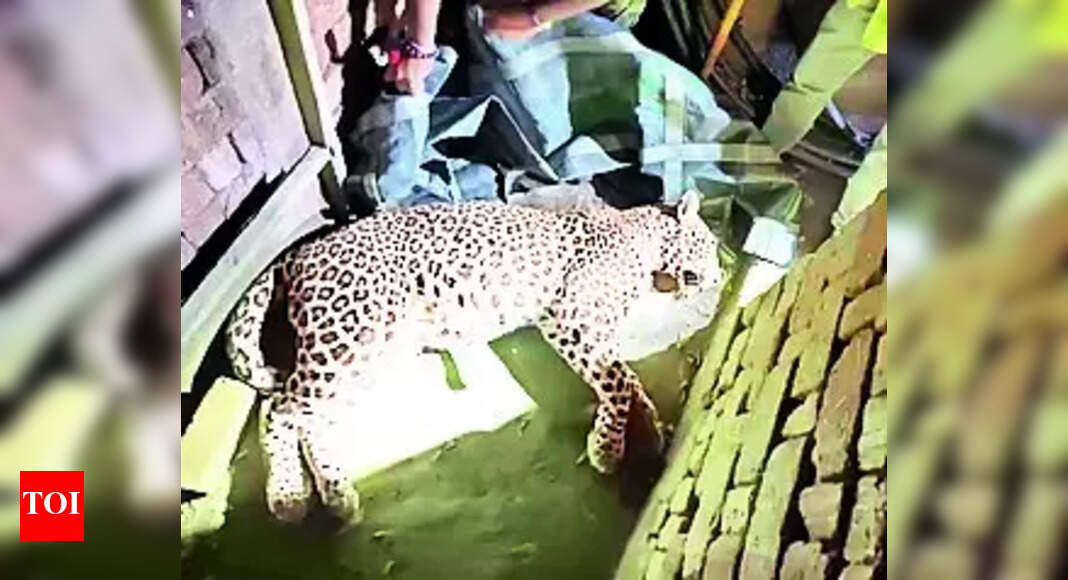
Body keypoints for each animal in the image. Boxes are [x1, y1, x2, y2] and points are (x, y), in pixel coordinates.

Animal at [226, 190, 724, 523]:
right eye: (710, 245)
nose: (719, 277)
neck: (643, 236)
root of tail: (297, 253)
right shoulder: (570, 317)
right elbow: (618, 381)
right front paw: (608, 447)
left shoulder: (591, 331)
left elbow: (626, 378)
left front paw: (649, 428)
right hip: (349, 339)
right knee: (278, 410)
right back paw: (288, 496)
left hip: (372, 353)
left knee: (311, 420)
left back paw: (336, 492)